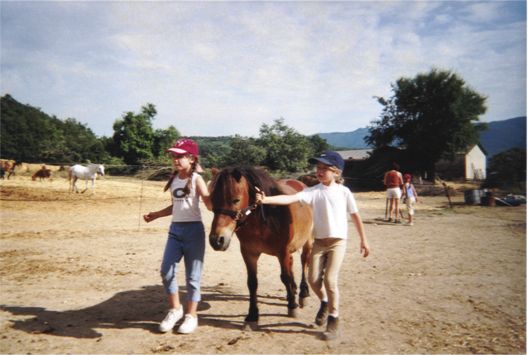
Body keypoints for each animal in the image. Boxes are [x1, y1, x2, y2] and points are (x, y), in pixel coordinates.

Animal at [207, 168, 314, 330]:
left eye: (236, 200)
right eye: (213, 199)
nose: (217, 240)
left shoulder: (282, 252)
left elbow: (285, 277)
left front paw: (292, 306)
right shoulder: (249, 253)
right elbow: (252, 282)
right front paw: (252, 315)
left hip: (308, 241)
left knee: (304, 262)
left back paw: (303, 294)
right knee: (292, 264)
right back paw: (294, 290)